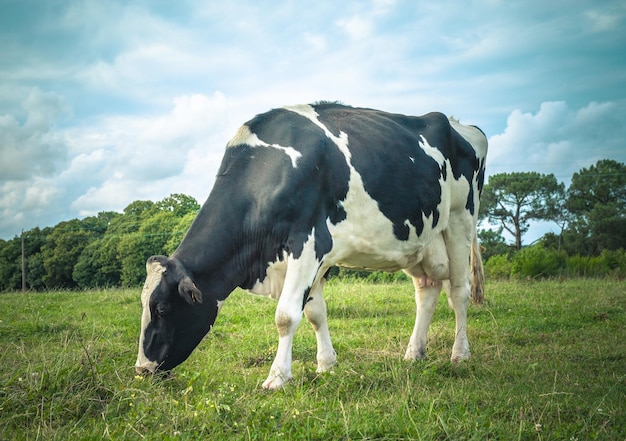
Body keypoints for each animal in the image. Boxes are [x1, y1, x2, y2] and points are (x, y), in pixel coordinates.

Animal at [135, 102, 488, 388]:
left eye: (162, 308)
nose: (142, 370)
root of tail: (461, 124)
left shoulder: (308, 242)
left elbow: (286, 315)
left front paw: (277, 377)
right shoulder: (306, 257)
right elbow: (315, 312)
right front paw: (326, 365)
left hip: (460, 220)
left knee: (459, 292)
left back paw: (460, 354)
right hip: (420, 240)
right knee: (426, 292)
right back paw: (414, 353)